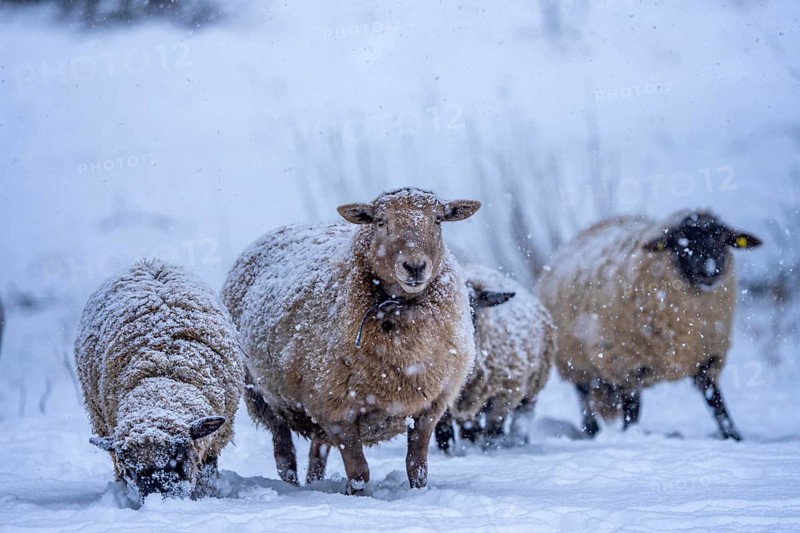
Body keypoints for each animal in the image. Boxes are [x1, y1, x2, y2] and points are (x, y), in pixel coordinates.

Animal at [75, 259, 243, 501]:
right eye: (131, 470)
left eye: (178, 458)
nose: (159, 500)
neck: (164, 375)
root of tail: (147, 261)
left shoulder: (216, 439)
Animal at [221, 187, 480, 495]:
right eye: (380, 222)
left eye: (438, 221)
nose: (415, 267)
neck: (396, 311)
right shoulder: (336, 408)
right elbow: (359, 471)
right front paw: (357, 497)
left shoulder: (432, 406)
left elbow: (417, 466)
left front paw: (418, 492)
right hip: (263, 396)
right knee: (284, 454)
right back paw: (293, 487)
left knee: (317, 453)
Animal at [435, 264, 555, 453]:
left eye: (472, 310)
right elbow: (445, 433)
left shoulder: (504, 394)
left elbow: (493, 430)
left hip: (532, 387)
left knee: (521, 418)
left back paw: (516, 442)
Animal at [537, 210, 762, 440]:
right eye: (680, 242)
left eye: (722, 239)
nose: (709, 269)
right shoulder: (627, 364)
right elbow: (632, 409)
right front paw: (630, 435)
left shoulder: (708, 359)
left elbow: (716, 402)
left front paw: (733, 436)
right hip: (574, 362)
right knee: (585, 399)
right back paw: (591, 431)